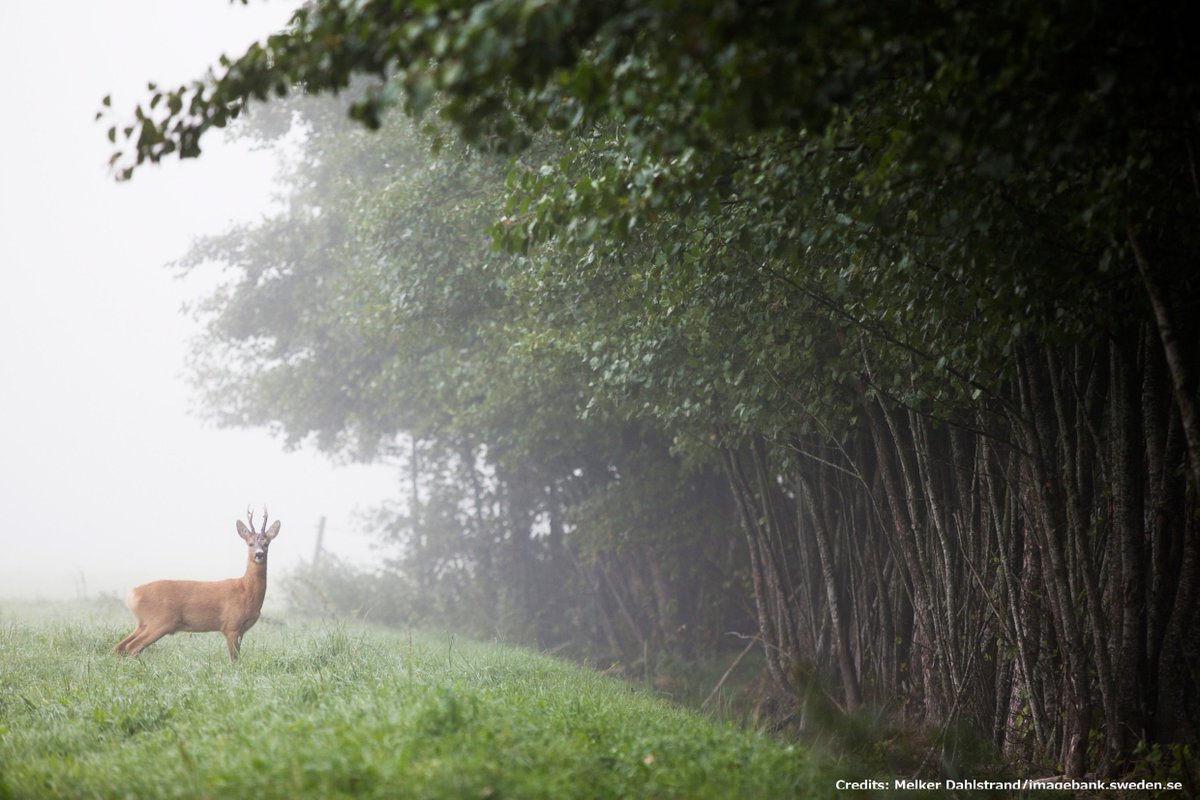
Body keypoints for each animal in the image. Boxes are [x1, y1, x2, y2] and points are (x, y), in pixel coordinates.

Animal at [113, 510, 279, 662]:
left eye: (266, 544)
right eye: (250, 543)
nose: (259, 554)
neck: (246, 590)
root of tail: (132, 594)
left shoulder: (241, 629)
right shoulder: (231, 625)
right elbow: (233, 659)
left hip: (142, 623)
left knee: (120, 646)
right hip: (159, 621)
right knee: (132, 647)